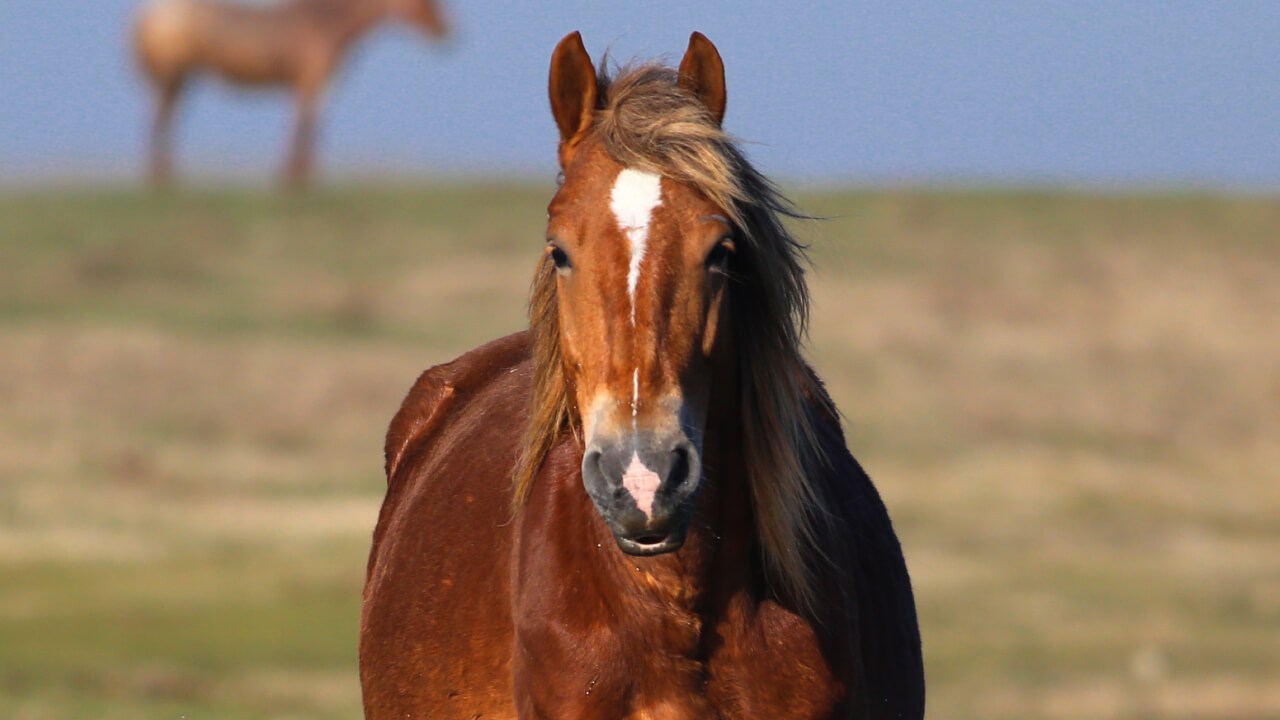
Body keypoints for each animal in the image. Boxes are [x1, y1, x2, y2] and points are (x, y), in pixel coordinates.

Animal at [132, 0, 448, 188]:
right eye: (425, 2)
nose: (448, 32)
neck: (328, 23)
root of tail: (147, 16)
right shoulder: (312, 81)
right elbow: (306, 127)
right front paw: (295, 177)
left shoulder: (310, 84)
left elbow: (304, 126)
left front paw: (295, 176)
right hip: (172, 76)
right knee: (160, 120)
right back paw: (161, 178)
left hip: (180, 80)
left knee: (164, 119)